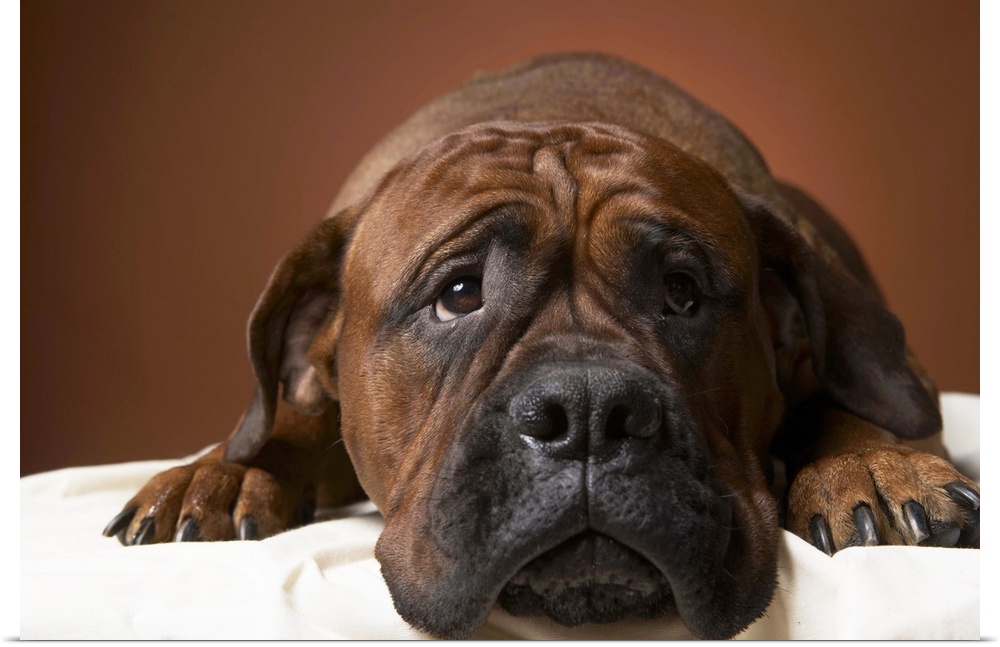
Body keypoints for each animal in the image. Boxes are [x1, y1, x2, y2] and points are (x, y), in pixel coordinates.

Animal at [103, 53, 979, 639]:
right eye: (458, 294)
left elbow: (854, 402)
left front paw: (872, 461)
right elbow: (280, 423)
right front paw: (219, 472)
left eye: (683, 292)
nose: (590, 413)